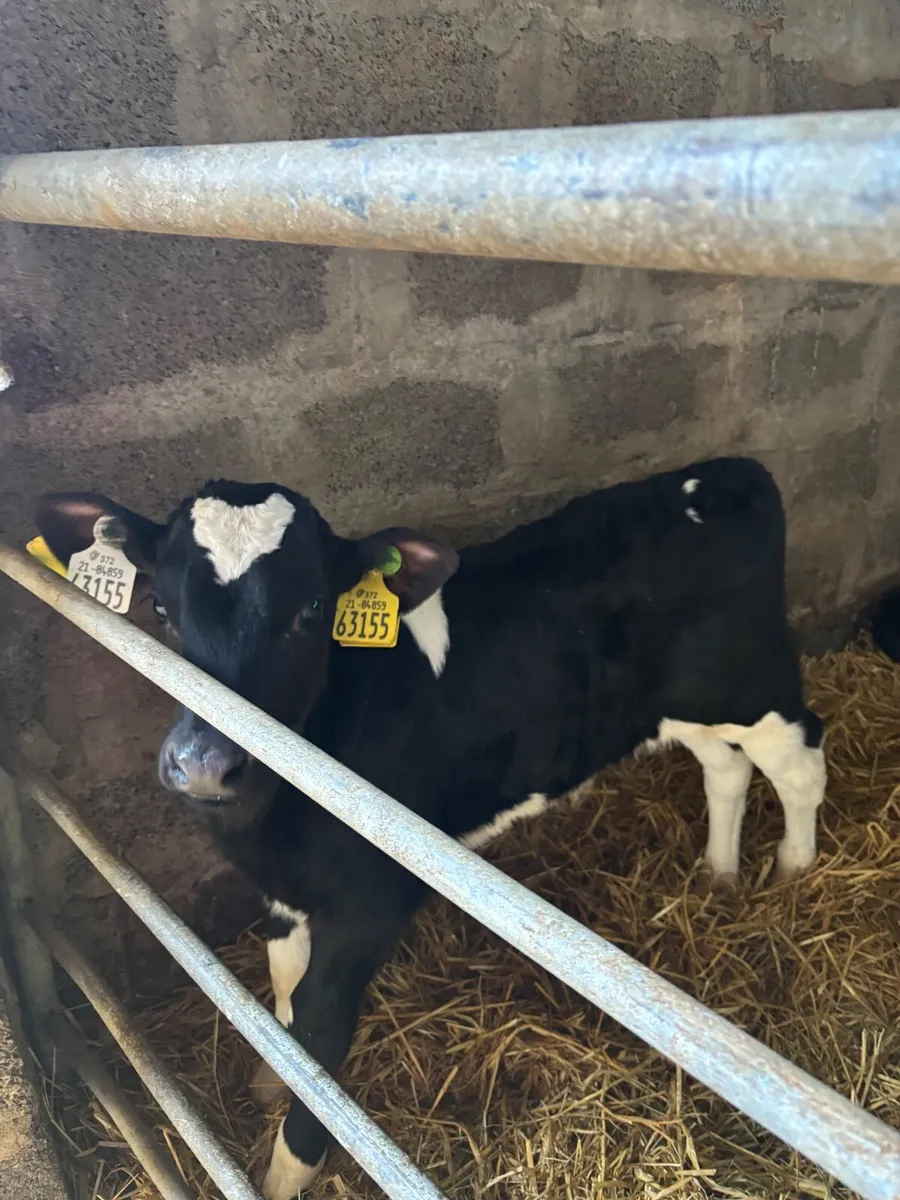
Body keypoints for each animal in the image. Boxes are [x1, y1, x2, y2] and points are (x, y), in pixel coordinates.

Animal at [36, 456, 826, 1199]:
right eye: (160, 607)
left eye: (313, 608)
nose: (203, 766)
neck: (276, 821)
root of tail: (725, 472)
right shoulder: (283, 893)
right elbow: (284, 989)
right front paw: (269, 1074)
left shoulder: (368, 907)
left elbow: (319, 1043)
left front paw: (284, 1174)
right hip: (679, 708)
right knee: (724, 769)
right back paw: (718, 874)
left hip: (755, 687)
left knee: (801, 762)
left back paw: (794, 871)